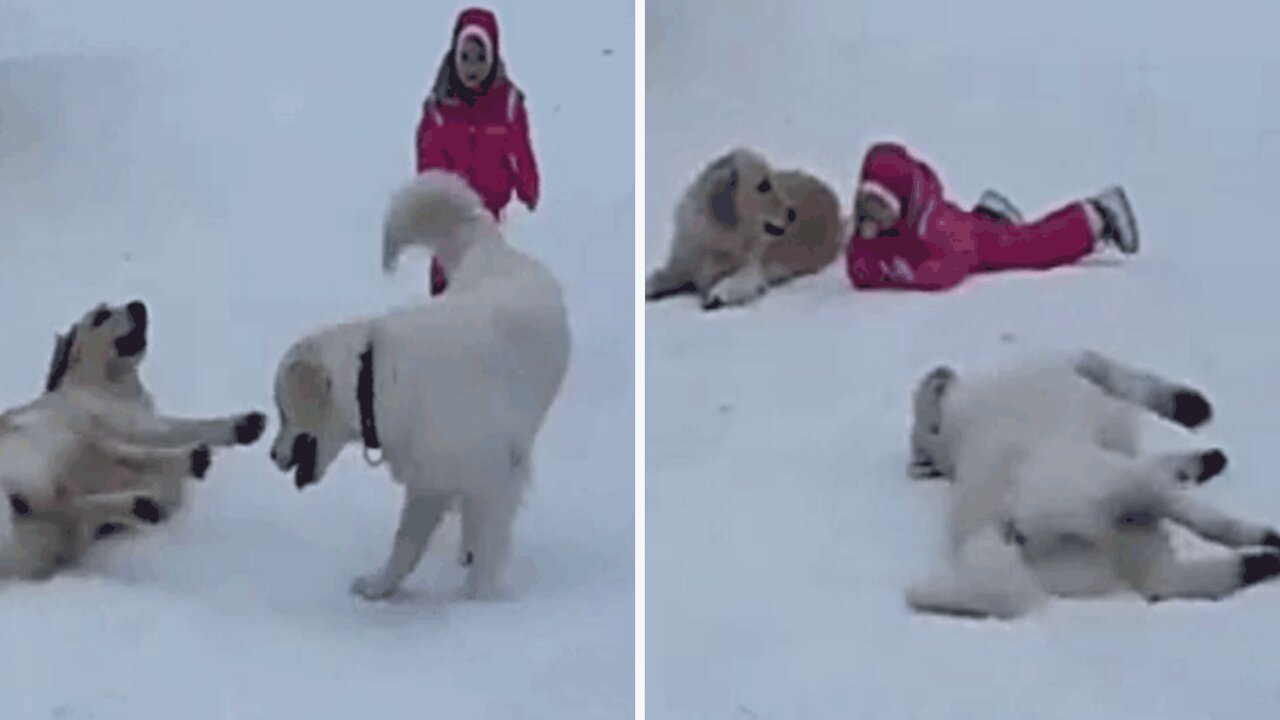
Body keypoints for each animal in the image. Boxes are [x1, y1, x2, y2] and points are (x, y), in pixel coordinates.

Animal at [1, 298, 267, 576]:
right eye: (101, 316)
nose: (138, 305)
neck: (105, 384)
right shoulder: (134, 427)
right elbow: (189, 428)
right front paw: (240, 425)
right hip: (67, 440)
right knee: (130, 463)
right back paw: (188, 462)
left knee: (71, 512)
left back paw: (141, 506)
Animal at [267, 169, 568, 599]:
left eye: (282, 410)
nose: (272, 455)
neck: (374, 380)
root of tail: (490, 246)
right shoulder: (428, 482)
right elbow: (405, 546)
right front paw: (380, 586)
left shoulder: (496, 475)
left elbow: (487, 546)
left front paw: (475, 600)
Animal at [645, 147, 844, 310]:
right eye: (763, 185)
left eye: (771, 182)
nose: (792, 213)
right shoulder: (682, 262)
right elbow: (657, 277)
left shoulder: (753, 268)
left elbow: (739, 280)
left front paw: (719, 294)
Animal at [906, 348, 1280, 617]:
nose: (941, 372)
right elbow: (1107, 368)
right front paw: (1189, 409)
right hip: (1113, 489)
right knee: (1205, 523)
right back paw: (1265, 537)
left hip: (1137, 556)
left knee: (1195, 576)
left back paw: (1261, 559)